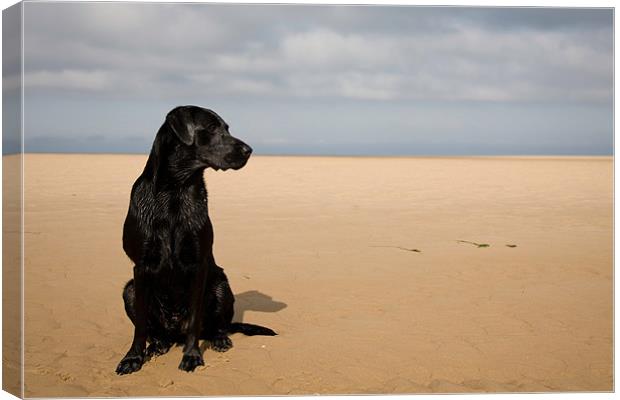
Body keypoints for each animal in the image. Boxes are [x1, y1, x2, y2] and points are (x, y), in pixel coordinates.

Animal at [117, 105, 276, 376]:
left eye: (227, 128)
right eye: (211, 127)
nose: (249, 150)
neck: (175, 190)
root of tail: (174, 332)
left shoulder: (197, 265)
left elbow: (194, 319)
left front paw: (191, 355)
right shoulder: (141, 266)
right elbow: (140, 328)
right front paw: (133, 357)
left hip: (221, 285)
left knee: (214, 326)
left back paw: (219, 339)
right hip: (129, 290)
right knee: (156, 331)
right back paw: (158, 344)